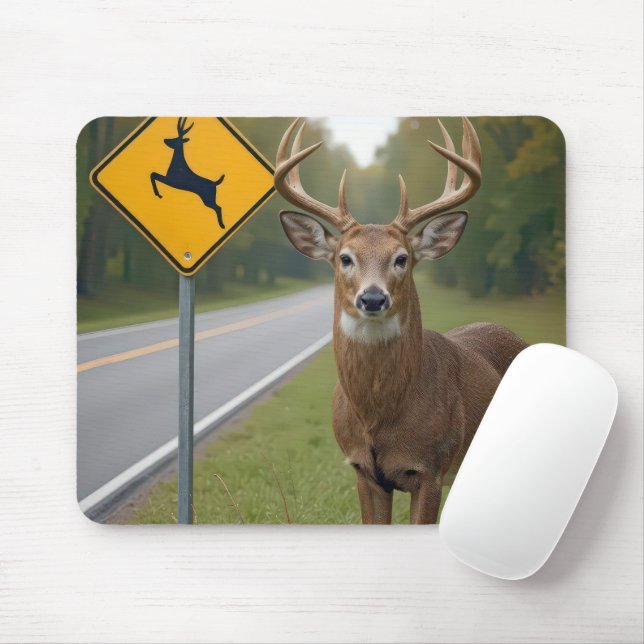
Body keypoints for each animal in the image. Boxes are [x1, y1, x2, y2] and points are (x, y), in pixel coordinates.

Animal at [274, 117, 528, 524]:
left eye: (402, 258)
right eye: (345, 257)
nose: (373, 297)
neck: (378, 416)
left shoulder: (431, 468)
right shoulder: (362, 470)